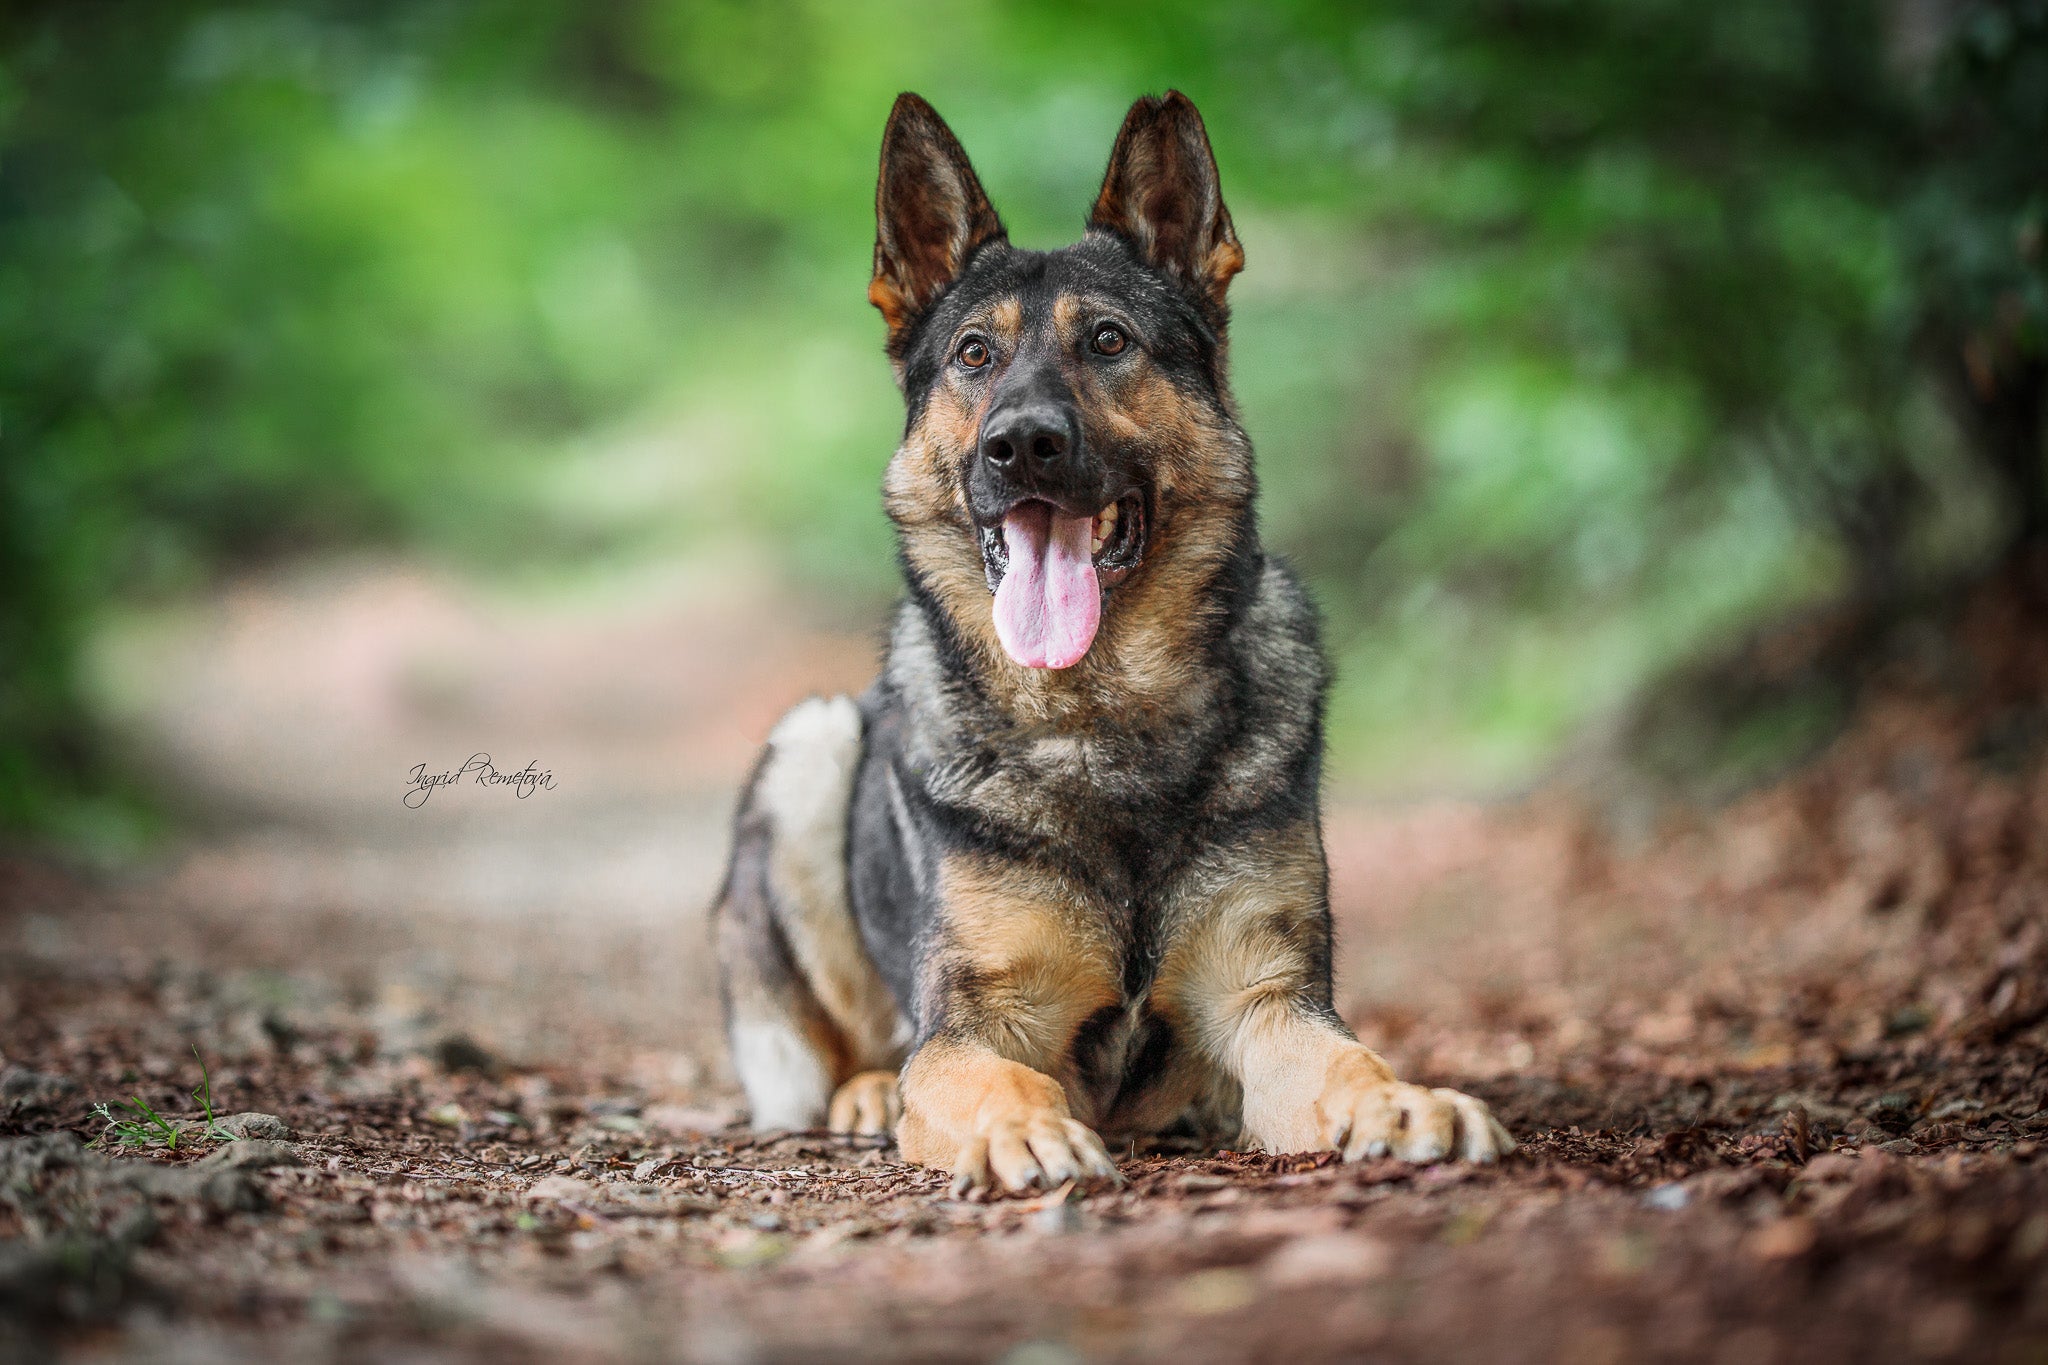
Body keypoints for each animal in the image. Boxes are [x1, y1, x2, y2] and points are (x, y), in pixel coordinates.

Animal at [712, 87, 1515, 1195]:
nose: (1022, 445)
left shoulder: (1265, 1002)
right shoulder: (972, 1025)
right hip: (811, 747)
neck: (1101, 720)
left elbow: (1352, 1058)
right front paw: (1021, 1128)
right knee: (854, 1048)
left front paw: (1405, 1101)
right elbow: (989, 1075)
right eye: (974, 354)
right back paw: (867, 1092)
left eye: (1106, 341)